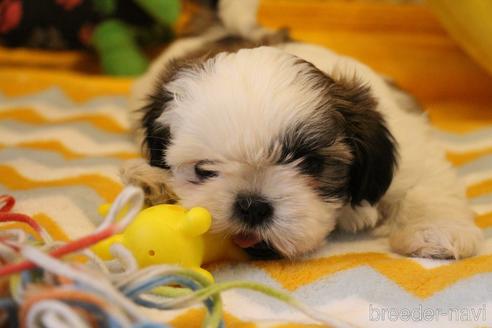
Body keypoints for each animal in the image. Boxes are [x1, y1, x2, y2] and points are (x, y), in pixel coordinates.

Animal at [122, 0, 480, 260]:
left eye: (312, 164)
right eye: (203, 170)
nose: (251, 205)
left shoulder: (408, 142)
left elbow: (426, 185)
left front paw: (436, 231)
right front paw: (153, 180)